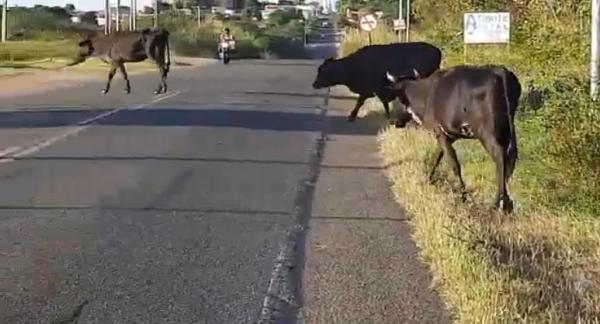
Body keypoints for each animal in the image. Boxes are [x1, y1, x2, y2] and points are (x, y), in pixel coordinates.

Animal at [312, 41, 442, 121]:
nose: (314, 84)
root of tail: (437, 50)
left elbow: (376, 103)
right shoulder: (369, 90)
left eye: (322, 71)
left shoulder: (377, 90)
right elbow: (362, 102)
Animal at [386, 65, 524, 214]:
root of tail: (500, 71)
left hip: (487, 132)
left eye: (395, 99)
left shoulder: (439, 133)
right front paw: (429, 179)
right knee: (511, 158)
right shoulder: (446, 135)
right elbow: (437, 157)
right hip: (509, 128)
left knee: (500, 157)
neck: (425, 95)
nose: (392, 120)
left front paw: (463, 195)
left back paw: (499, 202)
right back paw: (507, 200)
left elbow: (454, 164)